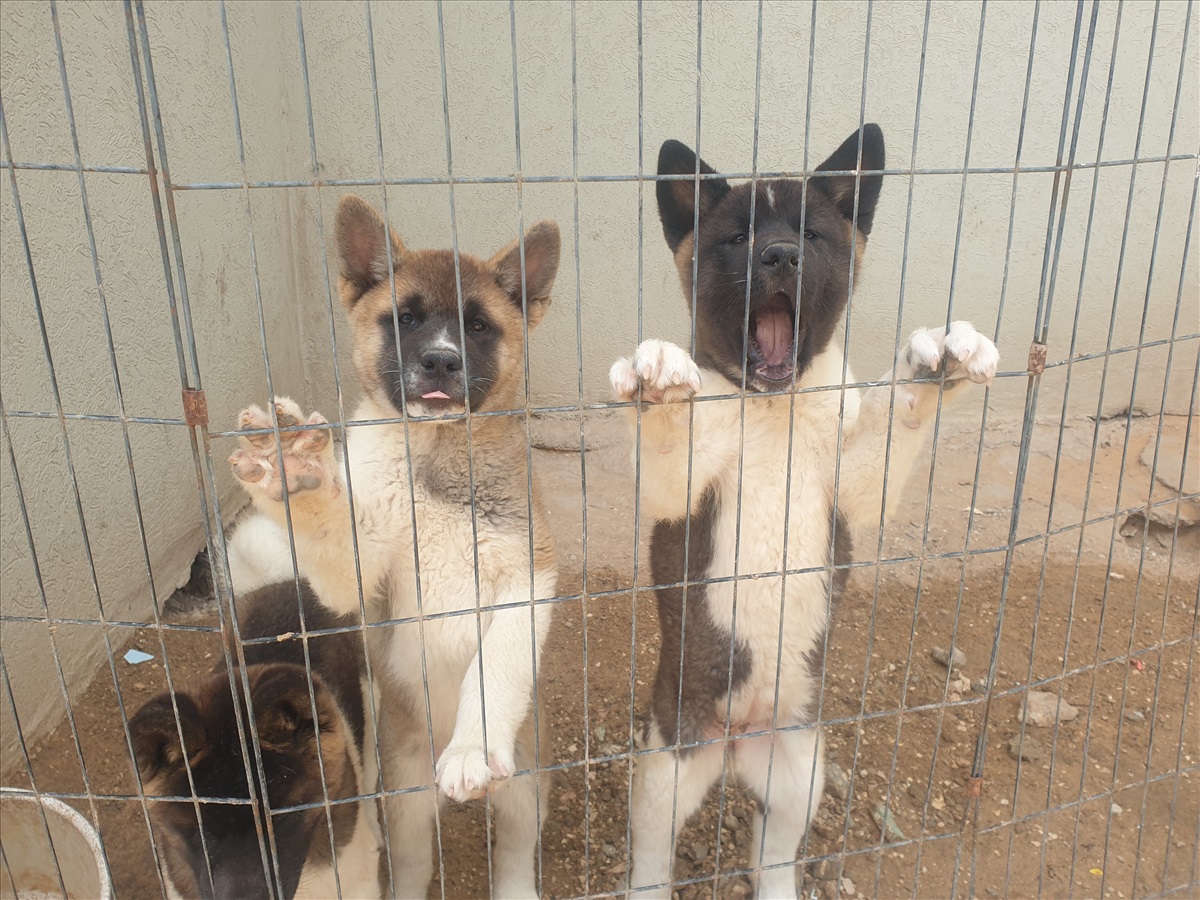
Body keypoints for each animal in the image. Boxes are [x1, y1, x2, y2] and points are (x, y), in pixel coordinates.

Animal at [232, 196, 561, 900]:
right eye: (404, 319)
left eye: (477, 326)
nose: (439, 362)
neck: (434, 457)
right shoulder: (356, 573)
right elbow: (329, 527)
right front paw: (293, 466)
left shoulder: (529, 576)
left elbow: (495, 665)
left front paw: (470, 747)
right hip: (405, 803)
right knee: (410, 866)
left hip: (523, 786)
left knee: (514, 853)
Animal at [614, 123, 998, 897]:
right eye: (738, 238)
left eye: (811, 235)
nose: (780, 255)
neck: (773, 407)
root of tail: (737, 738)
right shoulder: (679, 495)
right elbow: (670, 433)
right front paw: (661, 373)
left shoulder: (854, 485)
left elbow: (899, 414)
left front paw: (935, 359)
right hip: (665, 768)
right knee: (651, 859)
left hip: (801, 769)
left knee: (774, 853)